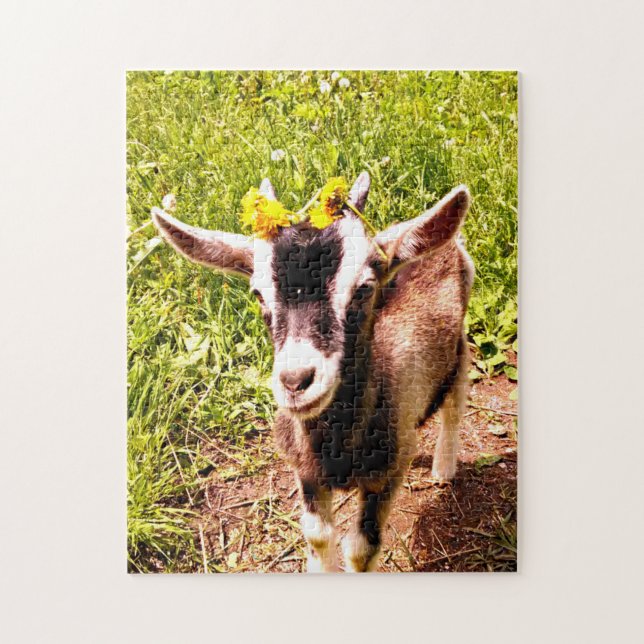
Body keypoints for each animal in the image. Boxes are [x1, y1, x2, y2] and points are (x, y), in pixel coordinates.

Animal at [151, 172, 473, 572]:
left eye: (364, 288)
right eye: (258, 294)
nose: (296, 381)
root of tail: (450, 246)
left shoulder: (389, 471)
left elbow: (362, 549)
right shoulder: (305, 471)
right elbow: (318, 535)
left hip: (458, 350)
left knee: (454, 404)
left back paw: (444, 469)